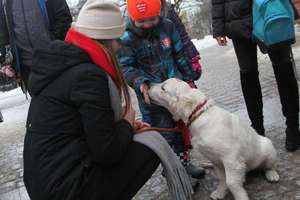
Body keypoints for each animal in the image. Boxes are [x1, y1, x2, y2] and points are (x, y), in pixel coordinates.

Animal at [149, 78, 280, 200]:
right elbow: (223, 178)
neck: (200, 115)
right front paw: (220, 192)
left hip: (268, 148)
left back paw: (272, 174)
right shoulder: (216, 160)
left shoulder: (231, 159)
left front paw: (240, 197)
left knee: (268, 166)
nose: (148, 84)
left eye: (163, 88)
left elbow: (231, 182)